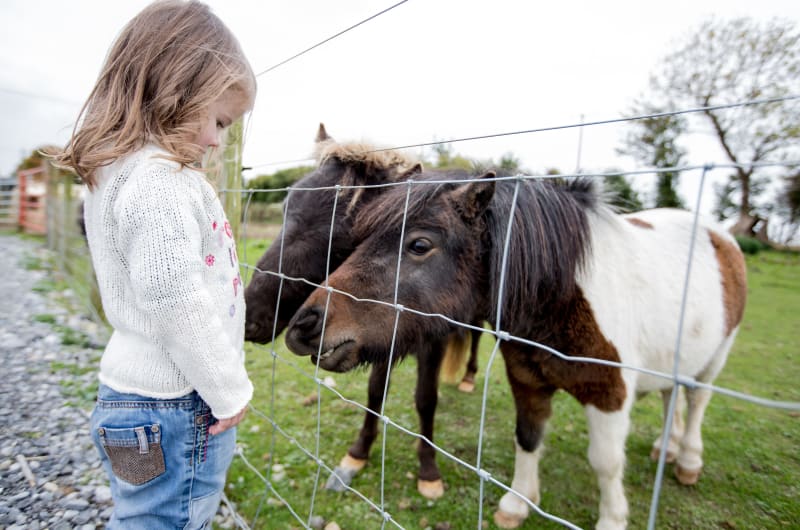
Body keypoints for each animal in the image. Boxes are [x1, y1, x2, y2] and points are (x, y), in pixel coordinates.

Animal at [243, 125, 483, 499]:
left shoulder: (432, 341)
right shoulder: (380, 335)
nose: (249, 316)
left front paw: (428, 469)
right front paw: (359, 453)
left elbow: (426, 398)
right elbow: (375, 392)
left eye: (350, 231)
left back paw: (470, 377)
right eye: (286, 205)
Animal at [284, 172, 747, 530]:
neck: (562, 297)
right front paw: (517, 503)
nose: (304, 326)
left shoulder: (609, 394)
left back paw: (687, 460)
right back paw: (665, 448)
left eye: (419, 245)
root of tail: (719, 234)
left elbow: (606, 462)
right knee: (672, 396)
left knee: (697, 400)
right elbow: (527, 438)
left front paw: (612, 518)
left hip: (717, 358)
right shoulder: (526, 379)